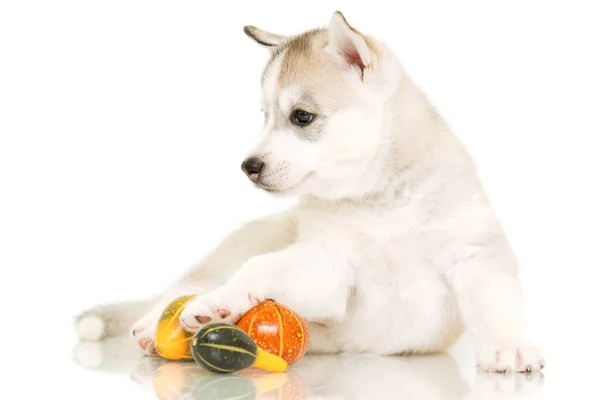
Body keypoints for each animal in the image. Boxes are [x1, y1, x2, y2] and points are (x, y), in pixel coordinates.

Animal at [75, 10, 544, 374]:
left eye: (302, 116)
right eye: (264, 116)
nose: (248, 167)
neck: (379, 202)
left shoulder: (475, 253)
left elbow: (495, 303)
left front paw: (510, 347)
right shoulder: (329, 267)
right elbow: (259, 267)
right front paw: (222, 301)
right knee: (182, 286)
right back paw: (154, 321)